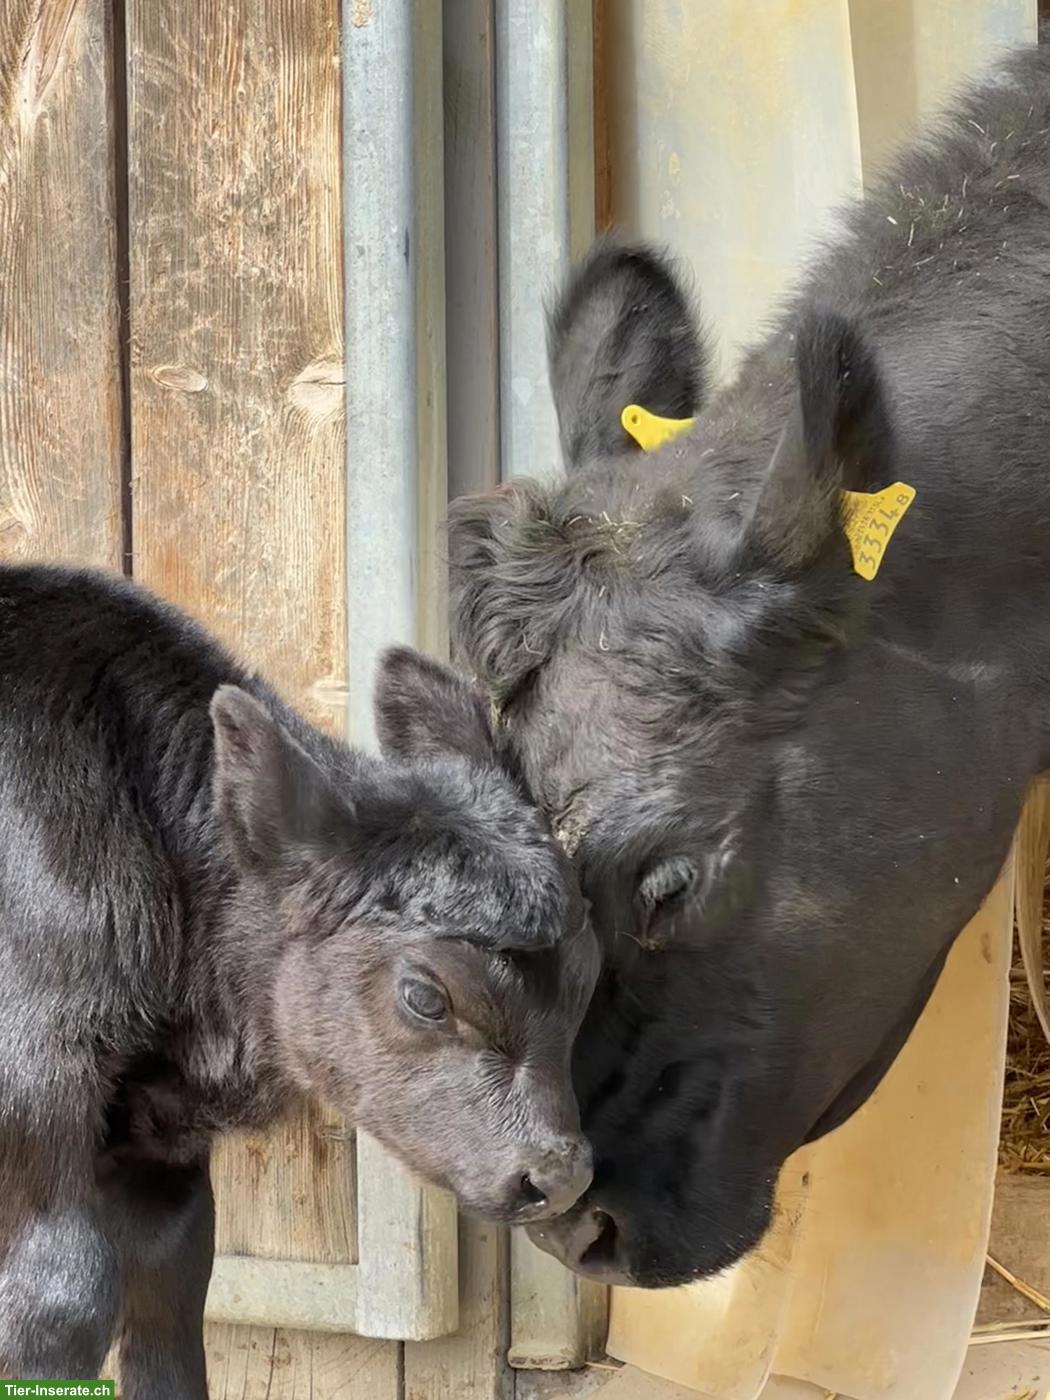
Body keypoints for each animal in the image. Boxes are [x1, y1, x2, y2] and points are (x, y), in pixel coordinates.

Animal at [0, 564, 597, 1395]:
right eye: (426, 996)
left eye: (586, 976)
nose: (559, 1175)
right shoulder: (34, 1081)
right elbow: (60, 1295)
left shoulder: (163, 1157)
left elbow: (169, 1306)